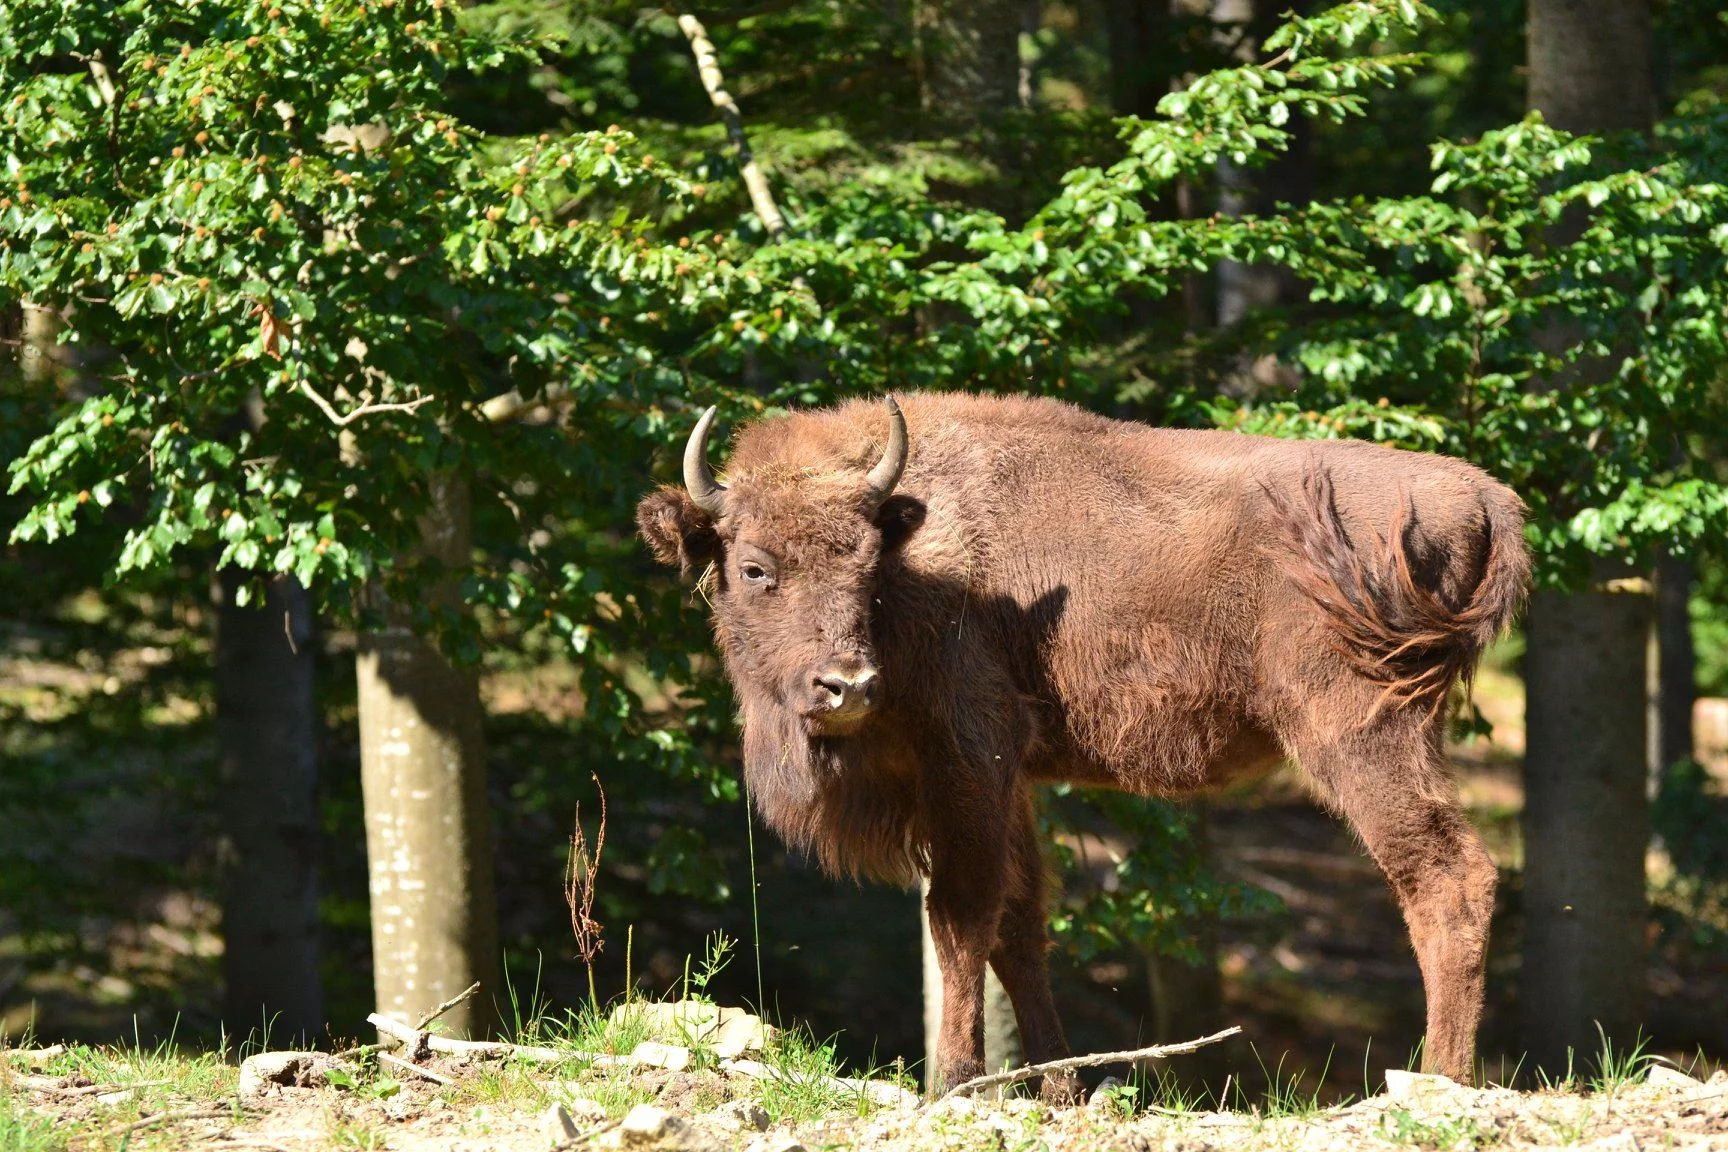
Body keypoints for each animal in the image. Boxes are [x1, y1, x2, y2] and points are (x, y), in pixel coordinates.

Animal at [642, 390, 1534, 1098]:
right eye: (755, 568)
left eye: (867, 568)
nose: (847, 685)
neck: (918, 556)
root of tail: (1484, 499)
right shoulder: (1008, 784)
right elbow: (1019, 926)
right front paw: (1058, 1085)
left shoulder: (970, 757)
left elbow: (961, 914)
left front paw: (957, 1081)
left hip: (1358, 733)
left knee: (1447, 877)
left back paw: (1440, 1078)